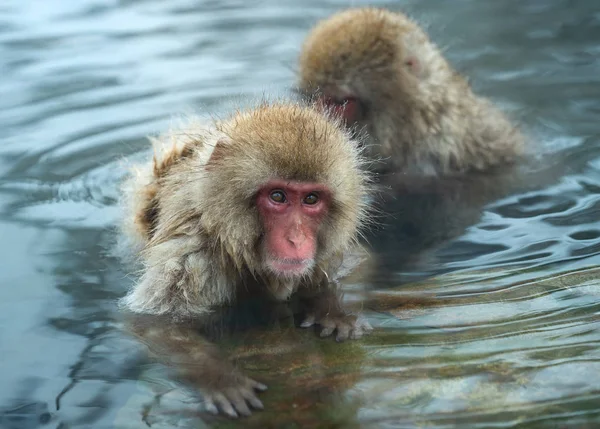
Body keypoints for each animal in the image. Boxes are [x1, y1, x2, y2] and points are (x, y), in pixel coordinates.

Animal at [116, 102, 372, 416]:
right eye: (278, 196)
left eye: (311, 199)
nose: (296, 240)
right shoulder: (191, 250)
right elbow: (159, 323)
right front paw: (219, 377)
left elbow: (341, 272)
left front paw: (330, 309)